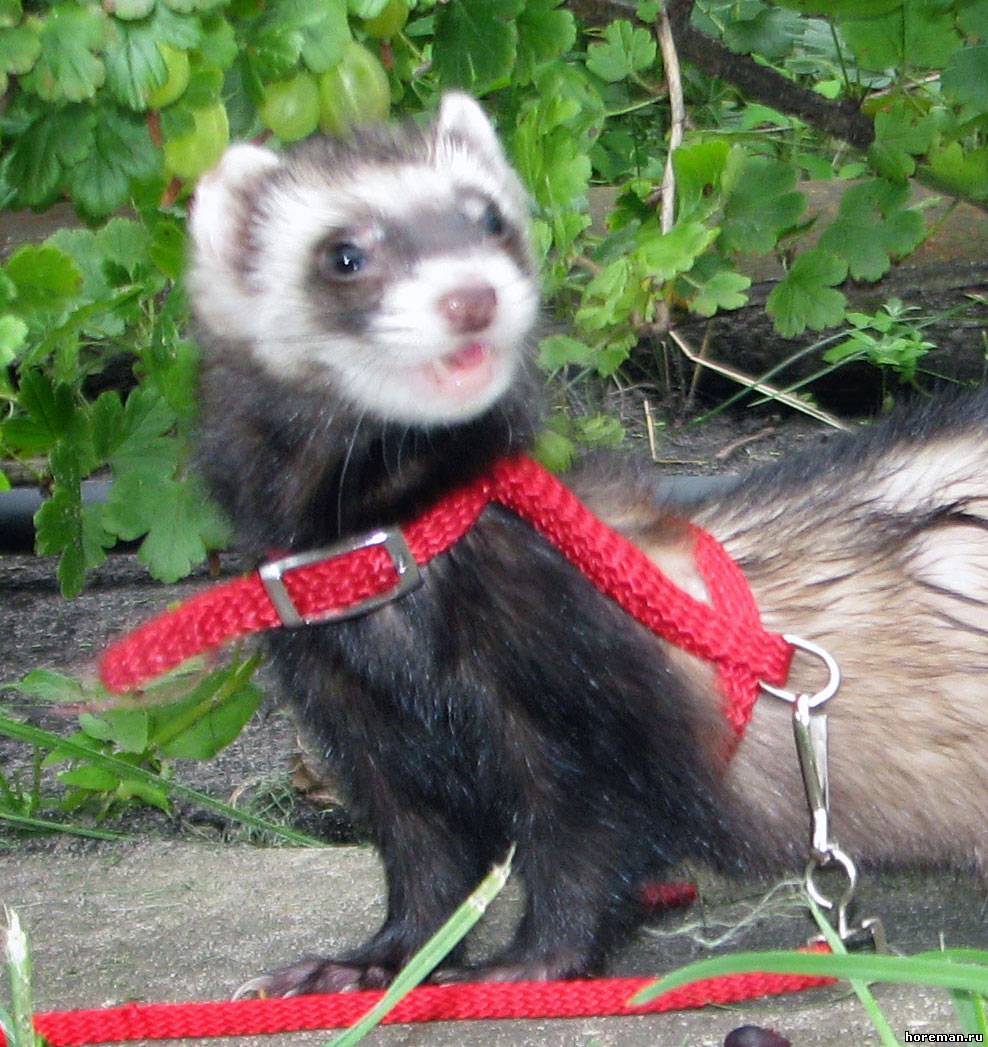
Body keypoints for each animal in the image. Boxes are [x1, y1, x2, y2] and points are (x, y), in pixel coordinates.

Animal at [188, 93, 988, 994]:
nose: (471, 296)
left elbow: (584, 854)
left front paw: (522, 967)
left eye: (490, 216)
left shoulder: (582, 715)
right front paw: (362, 965)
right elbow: (428, 870)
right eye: (343, 253)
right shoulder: (360, 729)